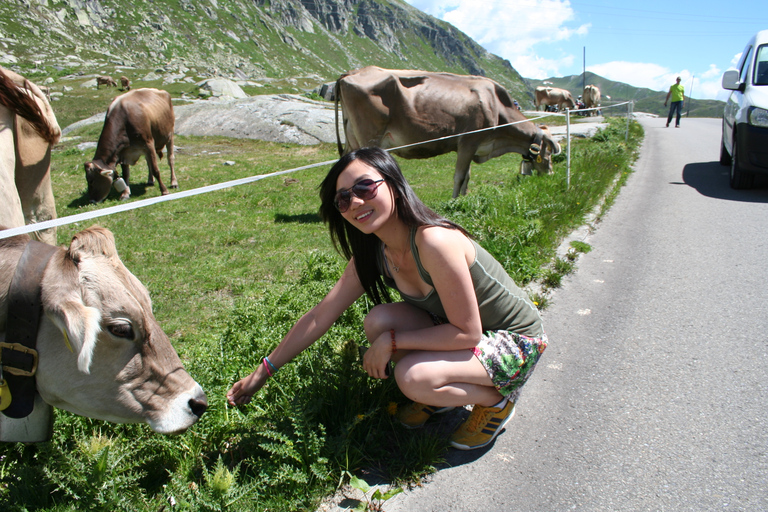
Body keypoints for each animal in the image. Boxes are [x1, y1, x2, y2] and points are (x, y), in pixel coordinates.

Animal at [332, 66, 560, 198]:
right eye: (548, 152)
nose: (551, 174)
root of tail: (350, 73)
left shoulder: (470, 146)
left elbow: (467, 175)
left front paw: (464, 198)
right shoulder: (469, 140)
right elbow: (459, 176)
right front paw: (453, 201)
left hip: (352, 137)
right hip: (369, 136)